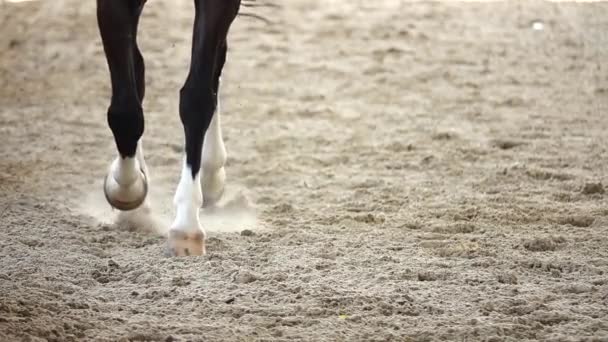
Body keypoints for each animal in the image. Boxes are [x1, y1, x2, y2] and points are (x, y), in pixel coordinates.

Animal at [96, 0, 241, 256]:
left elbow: (197, 98)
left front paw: (186, 226)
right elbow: (125, 112)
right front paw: (127, 188)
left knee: (217, 65)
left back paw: (210, 172)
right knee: (137, 68)